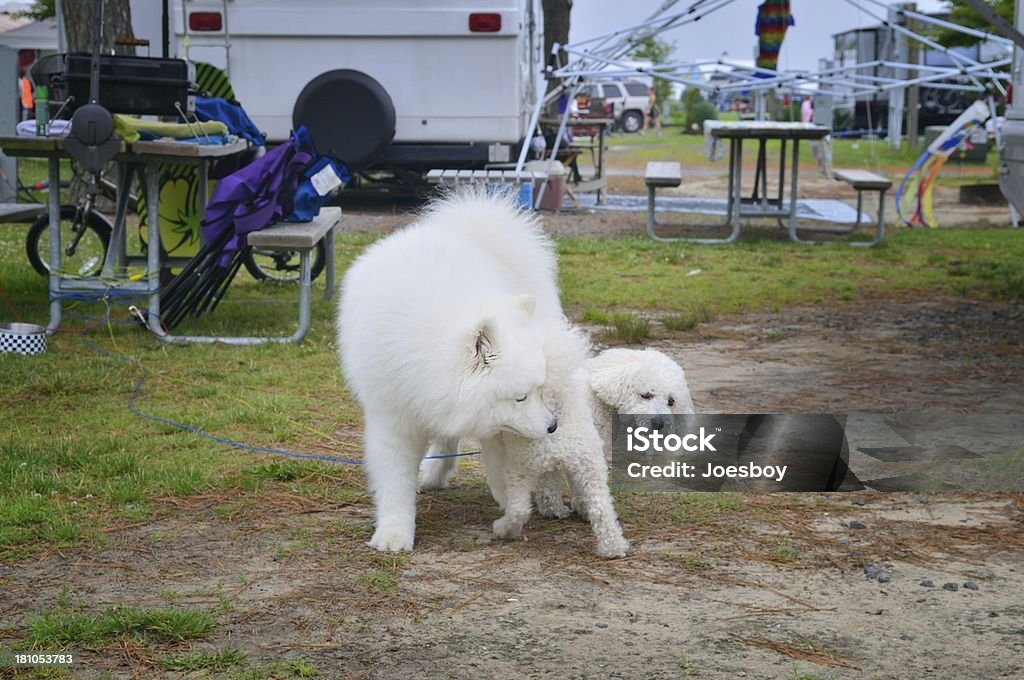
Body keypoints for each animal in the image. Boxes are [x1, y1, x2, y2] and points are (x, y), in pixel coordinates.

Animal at [337, 191, 565, 553]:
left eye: (539, 391)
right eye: (520, 398)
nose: (552, 426)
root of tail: (465, 229)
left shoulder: (494, 424)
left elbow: (501, 468)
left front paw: (512, 507)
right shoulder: (393, 418)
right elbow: (394, 481)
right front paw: (393, 534)